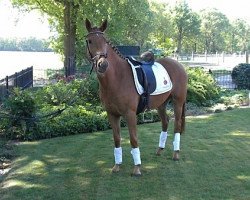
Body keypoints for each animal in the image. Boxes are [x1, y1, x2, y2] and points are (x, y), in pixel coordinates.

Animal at [85, 18, 187, 175]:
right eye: (89, 41)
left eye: (105, 41)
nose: (103, 64)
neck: (117, 78)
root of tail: (179, 65)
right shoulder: (112, 114)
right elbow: (117, 139)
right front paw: (117, 165)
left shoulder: (130, 114)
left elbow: (133, 139)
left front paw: (137, 168)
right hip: (161, 104)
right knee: (165, 122)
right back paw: (159, 150)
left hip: (178, 102)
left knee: (177, 125)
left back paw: (175, 154)